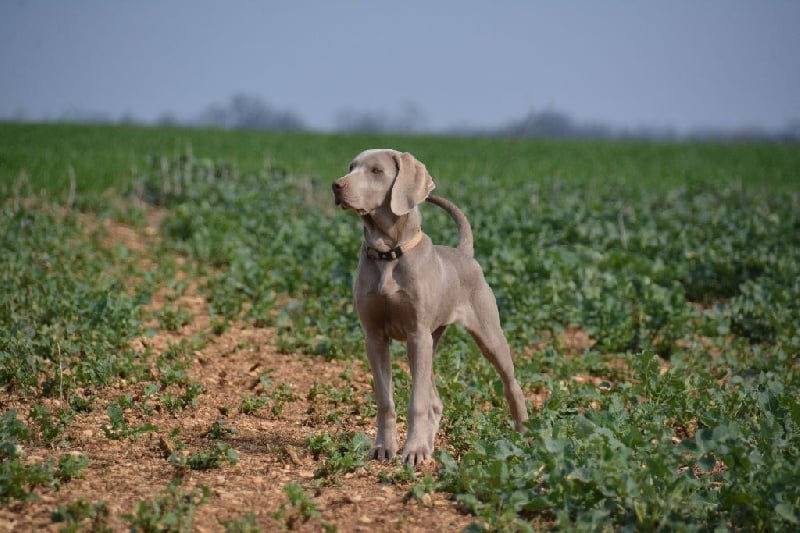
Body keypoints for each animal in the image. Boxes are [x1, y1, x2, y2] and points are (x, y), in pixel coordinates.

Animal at [332, 149, 528, 465]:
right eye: (351, 167)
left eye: (376, 171)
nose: (337, 186)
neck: (388, 254)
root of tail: (464, 253)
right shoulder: (374, 337)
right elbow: (385, 400)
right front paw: (384, 447)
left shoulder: (417, 334)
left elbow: (417, 402)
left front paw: (413, 451)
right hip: (430, 342)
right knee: (435, 399)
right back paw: (428, 444)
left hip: (486, 334)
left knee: (510, 382)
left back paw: (524, 433)